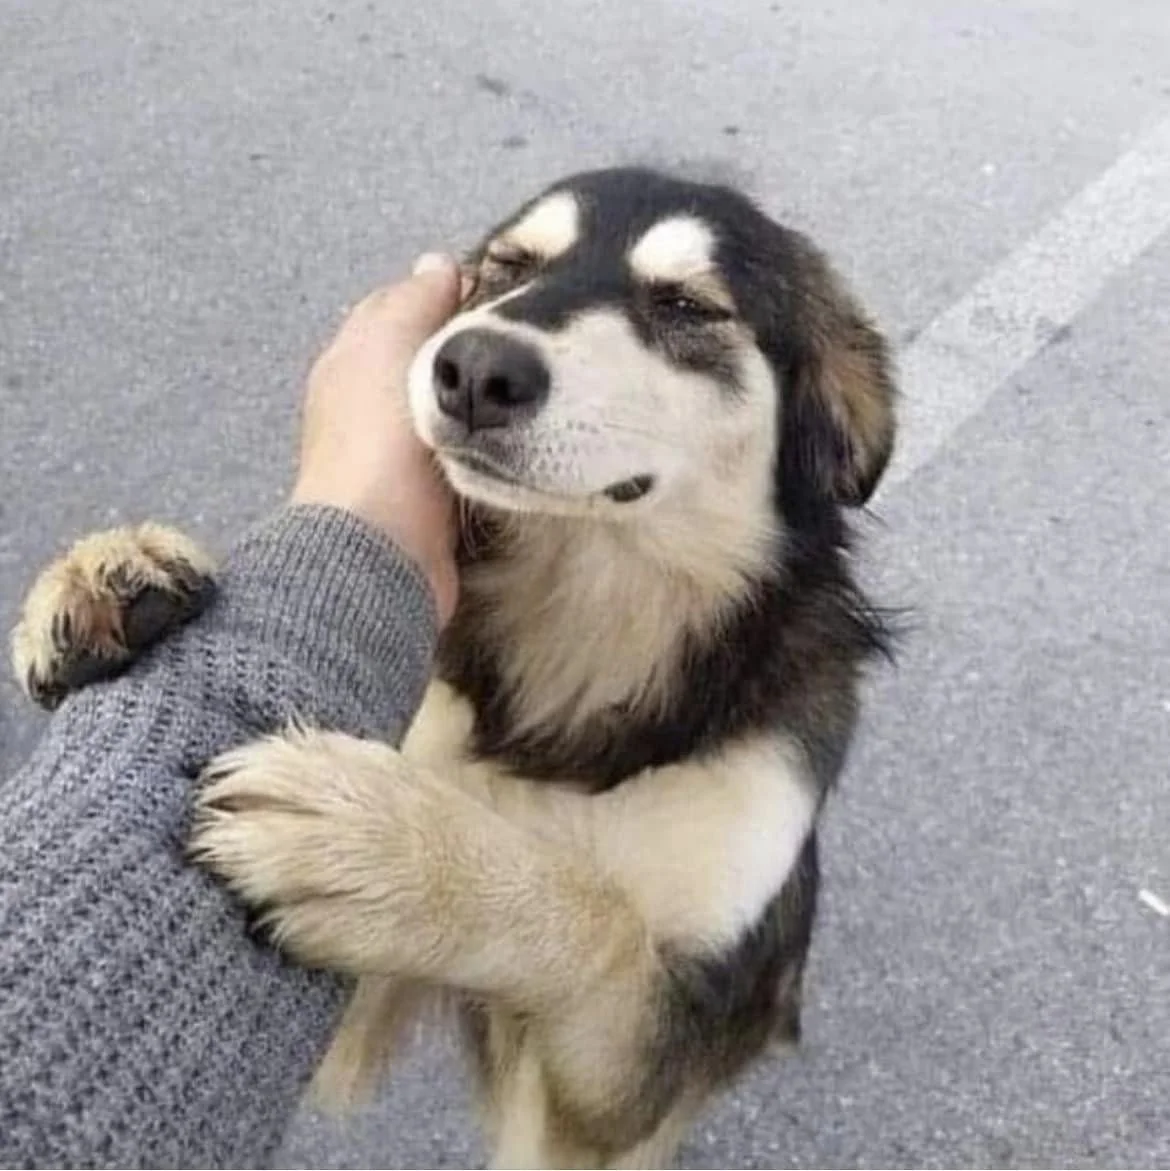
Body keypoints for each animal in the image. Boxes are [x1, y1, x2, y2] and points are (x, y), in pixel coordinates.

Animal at [11, 165, 897, 1168]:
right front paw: (105, 571)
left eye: (684, 305)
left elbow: (600, 916)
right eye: (509, 267)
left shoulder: (641, 1070)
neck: (588, 620)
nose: (475, 368)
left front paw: (384, 849)